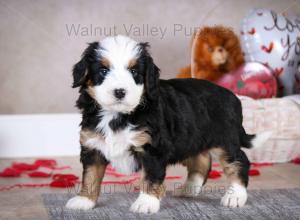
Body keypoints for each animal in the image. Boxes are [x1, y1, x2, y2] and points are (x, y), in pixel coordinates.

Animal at [65, 35, 272, 213]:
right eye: (103, 71)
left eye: (134, 72)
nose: (120, 92)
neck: (117, 115)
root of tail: (233, 96)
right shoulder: (92, 147)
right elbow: (90, 176)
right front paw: (84, 200)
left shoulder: (153, 148)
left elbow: (150, 177)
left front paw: (146, 202)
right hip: (190, 140)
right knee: (202, 161)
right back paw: (188, 189)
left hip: (225, 140)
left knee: (239, 161)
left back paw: (235, 196)